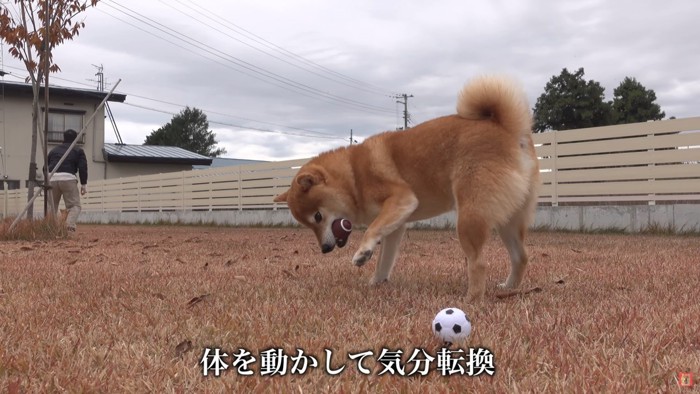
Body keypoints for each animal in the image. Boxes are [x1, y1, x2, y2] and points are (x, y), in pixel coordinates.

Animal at [274, 76, 540, 302]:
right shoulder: (397, 225)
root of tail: (507, 129)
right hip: (508, 219)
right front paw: (375, 282)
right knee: (521, 256)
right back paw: (509, 288)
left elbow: (372, 230)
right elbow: (384, 260)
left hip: (470, 216)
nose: (325, 249)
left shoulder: (402, 199)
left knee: (478, 263)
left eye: (318, 217)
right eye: (308, 225)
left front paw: (363, 253)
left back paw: (471, 299)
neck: (353, 177)